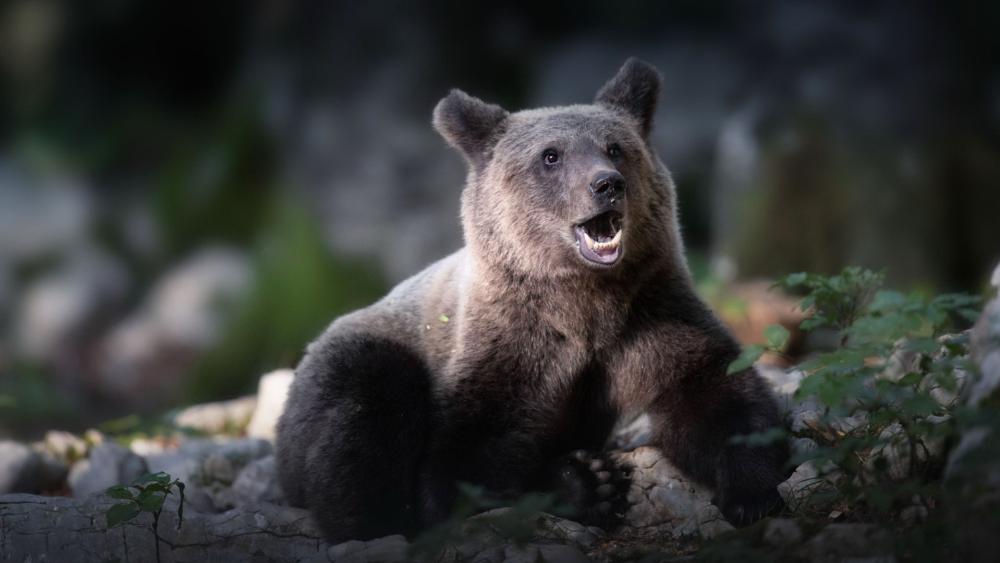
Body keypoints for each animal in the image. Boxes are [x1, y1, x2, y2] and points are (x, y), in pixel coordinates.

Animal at [275, 58, 790, 543]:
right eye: (551, 155)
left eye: (615, 147)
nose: (607, 184)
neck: (582, 302)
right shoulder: (511, 347)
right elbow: (464, 460)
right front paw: (588, 483)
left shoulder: (649, 316)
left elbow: (714, 392)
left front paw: (751, 493)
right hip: (346, 366)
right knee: (367, 409)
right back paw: (372, 521)